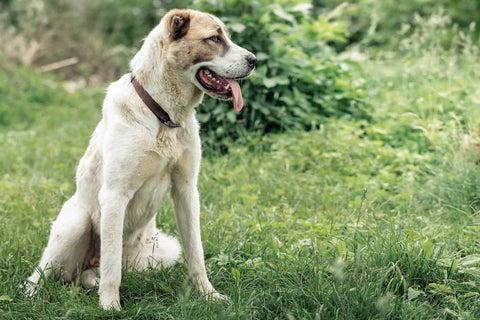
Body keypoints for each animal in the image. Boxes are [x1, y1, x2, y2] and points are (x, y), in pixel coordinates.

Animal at [26, 8, 256, 310]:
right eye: (214, 38)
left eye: (226, 36)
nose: (254, 60)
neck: (164, 116)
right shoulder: (115, 195)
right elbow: (112, 267)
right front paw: (110, 307)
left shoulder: (186, 191)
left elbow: (196, 253)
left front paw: (208, 294)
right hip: (76, 222)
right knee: (42, 273)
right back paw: (31, 295)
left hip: (165, 249)